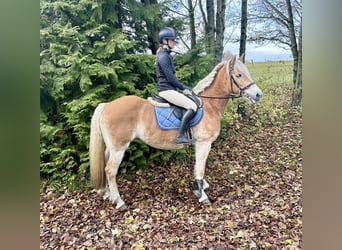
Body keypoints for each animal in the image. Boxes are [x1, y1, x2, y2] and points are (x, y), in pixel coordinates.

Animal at [89, 50, 262, 209]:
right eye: (239, 75)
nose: (258, 94)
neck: (209, 106)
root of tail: (107, 105)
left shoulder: (200, 144)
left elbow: (198, 165)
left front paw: (201, 186)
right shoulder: (204, 143)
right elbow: (201, 166)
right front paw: (202, 194)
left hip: (111, 147)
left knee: (104, 165)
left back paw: (107, 194)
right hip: (119, 148)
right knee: (110, 170)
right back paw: (119, 201)